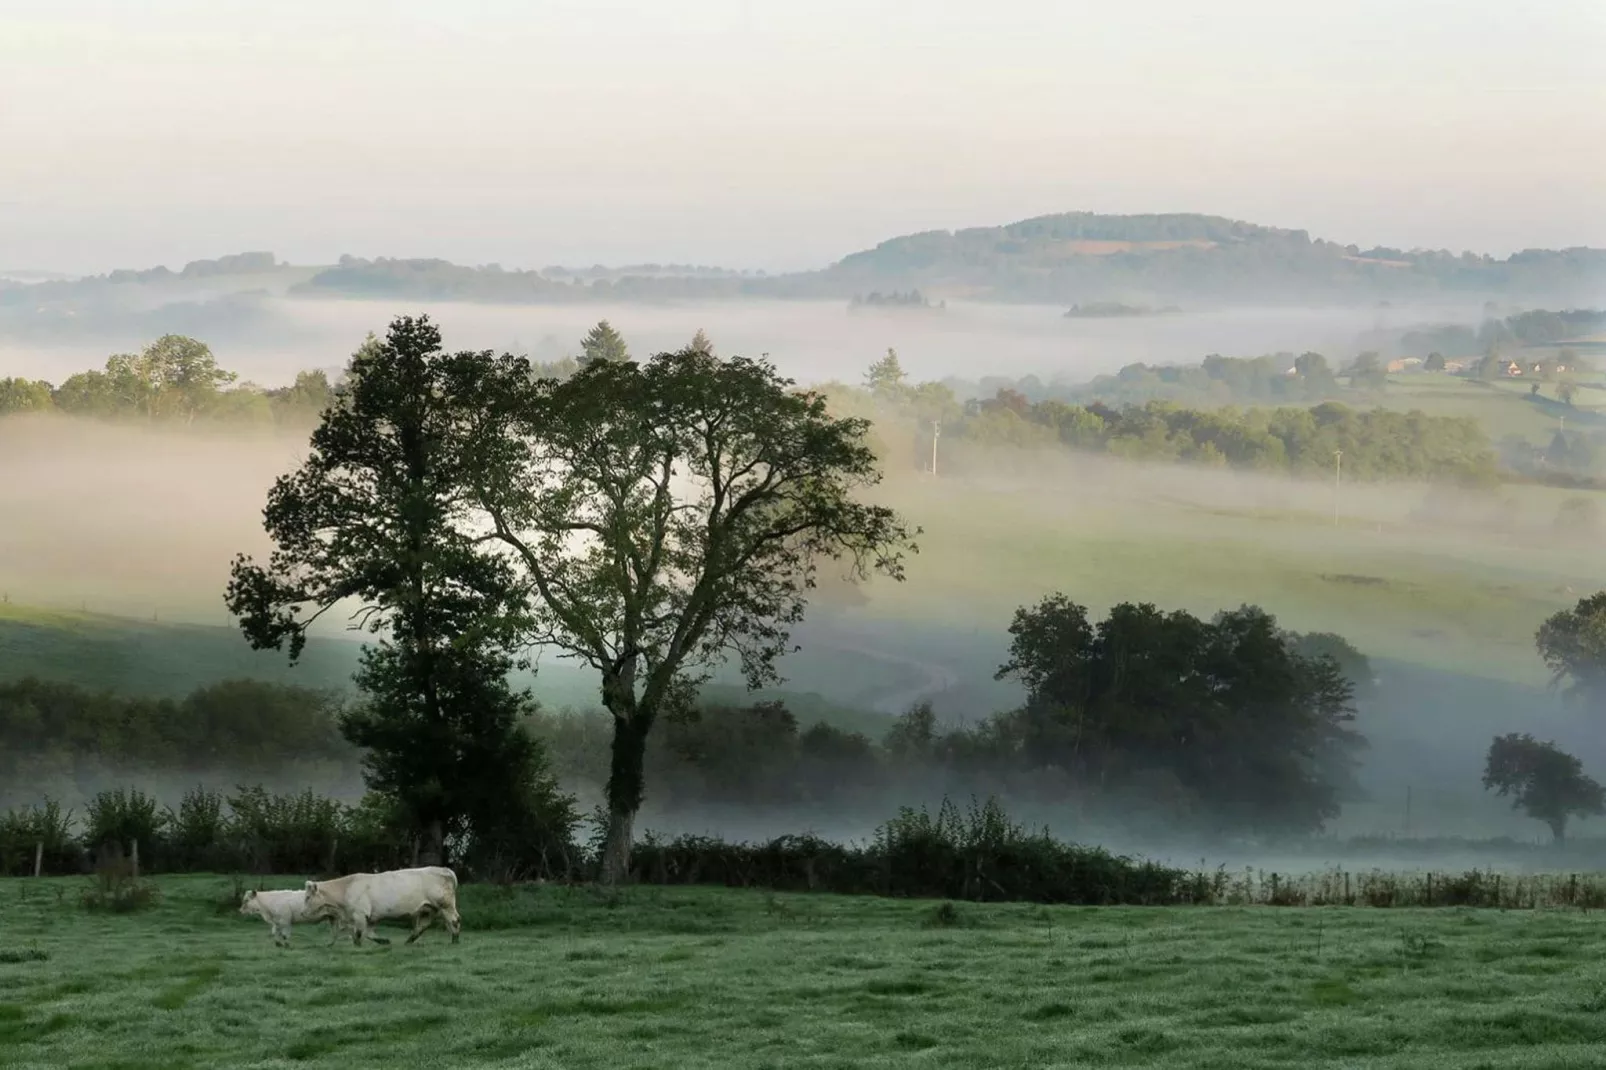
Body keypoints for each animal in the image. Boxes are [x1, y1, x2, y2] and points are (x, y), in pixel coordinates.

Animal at [303, 861, 462, 944]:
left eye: (308, 897)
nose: (303, 912)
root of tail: (444, 869)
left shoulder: (360, 914)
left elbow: (359, 933)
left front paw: (357, 946)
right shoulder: (371, 916)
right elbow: (368, 933)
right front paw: (384, 941)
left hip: (445, 905)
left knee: (454, 920)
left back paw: (455, 940)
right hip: (427, 908)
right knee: (423, 925)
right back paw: (409, 941)